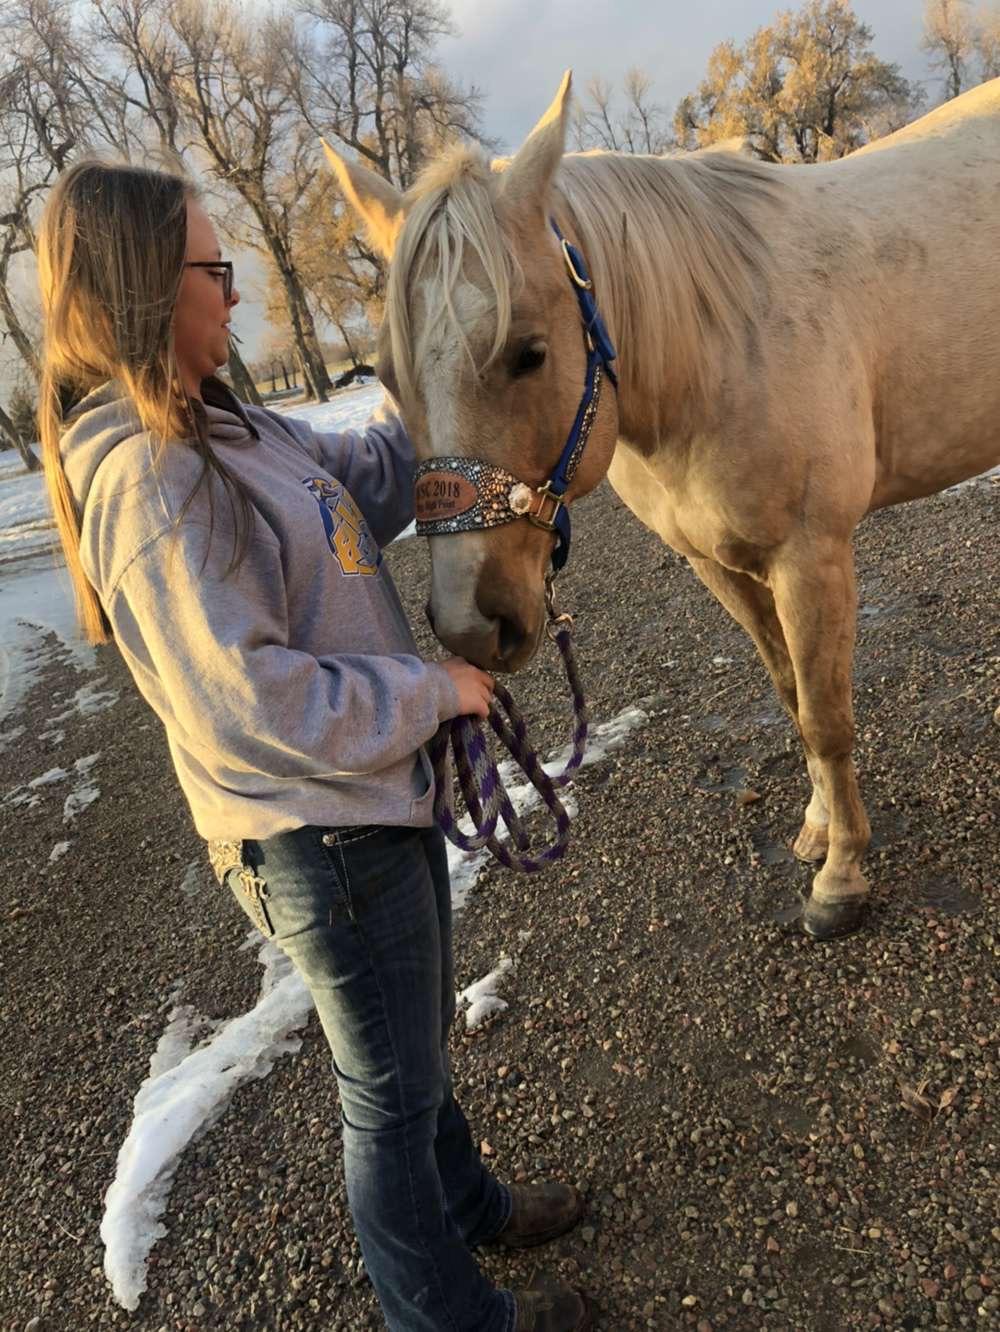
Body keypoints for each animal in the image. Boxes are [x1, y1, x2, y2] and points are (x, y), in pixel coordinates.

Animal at [323, 73, 1000, 940]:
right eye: (387, 375)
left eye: (529, 353)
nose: (473, 626)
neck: (715, 345)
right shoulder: (720, 565)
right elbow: (791, 697)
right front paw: (818, 831)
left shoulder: (811, 557)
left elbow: (825, 716)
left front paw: (841, 878)